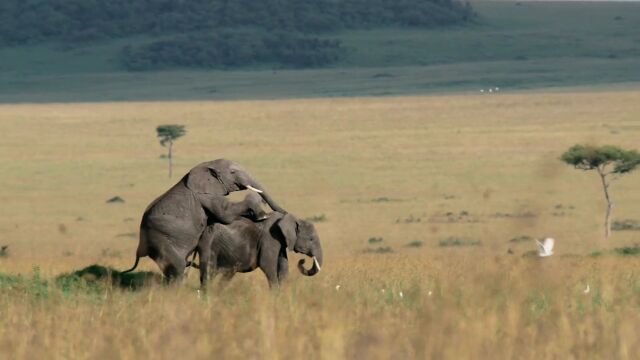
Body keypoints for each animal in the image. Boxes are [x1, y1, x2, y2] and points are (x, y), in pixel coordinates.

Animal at [188, 211, 322, 286]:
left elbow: (283, 268)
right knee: (208, 273)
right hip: (208, 244)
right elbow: (267, 265)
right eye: (311, 239)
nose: (302, 260)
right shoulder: (270, 238)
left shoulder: (281, 242)